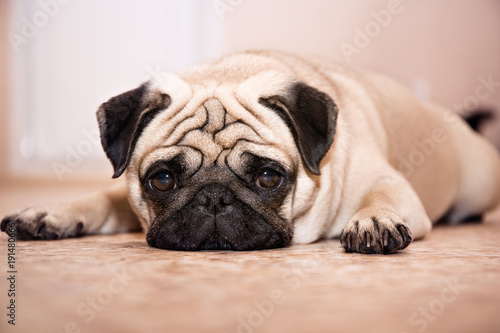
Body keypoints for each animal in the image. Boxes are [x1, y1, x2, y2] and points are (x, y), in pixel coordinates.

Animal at [2, 49, 500, 253]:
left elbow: (381, 197)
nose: (214, 197)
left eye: (267, 177)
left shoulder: (389, 184)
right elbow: (100, 199)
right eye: (162, 179)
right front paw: (53, 214)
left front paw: (372, 221)